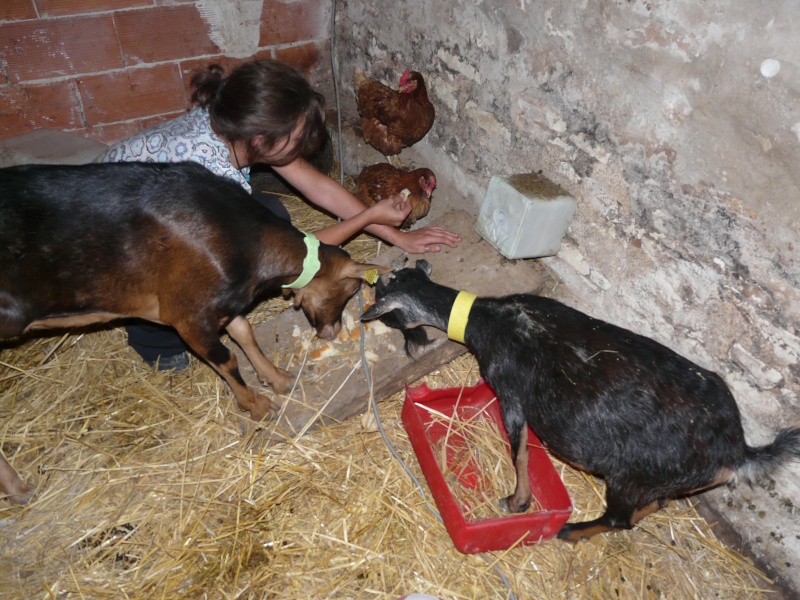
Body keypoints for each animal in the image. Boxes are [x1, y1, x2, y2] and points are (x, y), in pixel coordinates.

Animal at [0, 159, 388, 502]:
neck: (241, 241)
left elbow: (244, 332)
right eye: (346, 291)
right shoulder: (185, 313)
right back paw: (19, 489)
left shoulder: (219, 302)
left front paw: (279, 379)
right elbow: (226, 358)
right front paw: (257, 405)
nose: (330, 333)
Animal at [362, 260, 800, 540]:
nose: (411, 346)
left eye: (383, 303)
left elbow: (519, 450)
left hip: (631, 477)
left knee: (620, 519)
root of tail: (736, 450)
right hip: (661, 482)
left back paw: (570, 531)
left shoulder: (511, 392)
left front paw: (517, 502)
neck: (489, 318)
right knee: (654, 505)